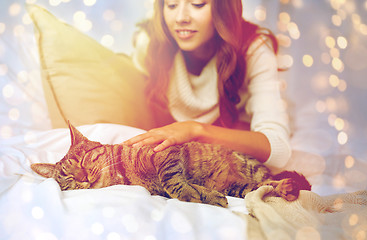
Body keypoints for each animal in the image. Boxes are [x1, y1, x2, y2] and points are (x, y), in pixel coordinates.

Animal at [32, 123, 314, 207]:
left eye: (83, 161)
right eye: (69, 179)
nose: (83, 178)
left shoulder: (167, 152)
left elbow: (173, 180)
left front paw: (191, 192)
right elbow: (190, 188)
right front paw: (206, 196)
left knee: (268, 183)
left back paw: (287, 185)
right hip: (240, 187)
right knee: (261, 188)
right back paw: (285, 188)